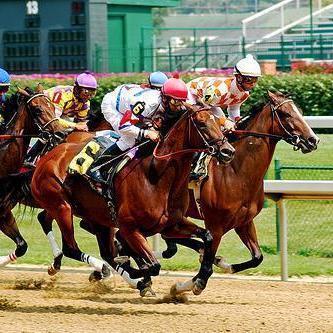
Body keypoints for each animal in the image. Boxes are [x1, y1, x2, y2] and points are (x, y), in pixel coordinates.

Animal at [30, 105, 233, 294]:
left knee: (100, 250)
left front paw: (203, 275)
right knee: (72, 248)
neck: (157, 176)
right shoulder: (130, 228)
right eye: (202, 123)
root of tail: (48, 156)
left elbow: (207, 236)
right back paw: (106, 270)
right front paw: (139, 273)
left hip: (97, 217)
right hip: (62, 207)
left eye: (218, 121)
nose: (227, 151)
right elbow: (153, 265)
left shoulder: (171, 224)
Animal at [161, 91, 320, 294]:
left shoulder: (244, 222)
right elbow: (205, 270)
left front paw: (222, 264)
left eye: (299, 111)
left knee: (169, 236)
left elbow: (257, 257)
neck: (236, 172)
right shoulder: (215, 225)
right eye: (285, 113)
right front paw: (187, 285)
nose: (313, 140)